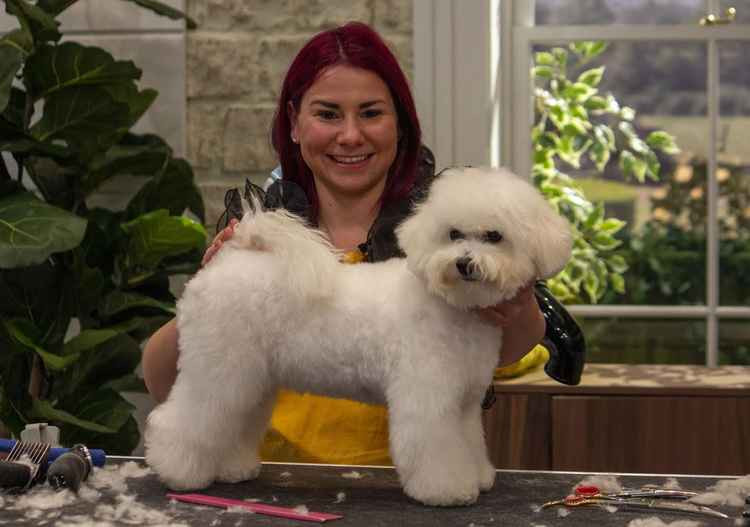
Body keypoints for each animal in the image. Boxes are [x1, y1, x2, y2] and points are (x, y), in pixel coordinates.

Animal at [145, 167, 568, 506]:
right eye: (453, 234)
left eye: (494, 236)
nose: (463, 263)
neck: (450, 306)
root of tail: (230, 259)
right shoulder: (427, 398)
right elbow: (435, 447)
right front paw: (447, 489)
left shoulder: (463, 402)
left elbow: (469, 442)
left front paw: (477, 477)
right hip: (218, 367)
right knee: (185, 417)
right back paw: (177, 471)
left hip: (252, 378)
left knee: (234, 421)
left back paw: (231, 468)